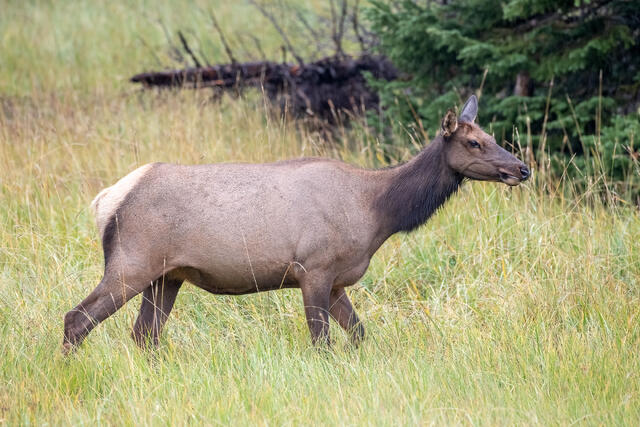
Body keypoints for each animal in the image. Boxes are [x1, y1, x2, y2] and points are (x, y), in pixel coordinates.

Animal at [62, 95, 529, 353]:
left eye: (492, 137)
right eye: (474, 142)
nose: (521, 168)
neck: (378, 213)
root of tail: (106, 200)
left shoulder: (338, 280)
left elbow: (360, 336)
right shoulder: (314, 269)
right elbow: (322, 344)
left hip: (167, 275)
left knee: (145, 334)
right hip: (131, 262)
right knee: (77, 318)